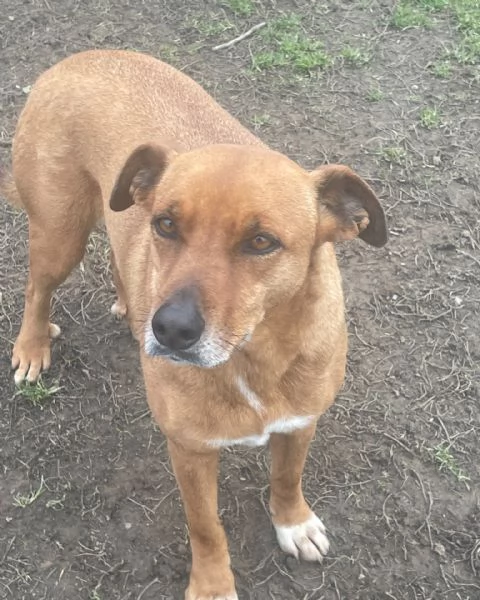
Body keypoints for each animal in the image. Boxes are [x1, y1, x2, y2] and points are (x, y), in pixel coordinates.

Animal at [2, 51, 386, 600]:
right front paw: (211, 584)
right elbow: (205, 526)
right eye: (166, 224)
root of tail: (79, 57)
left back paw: (129, 307)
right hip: (61, 232)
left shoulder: (301, 422)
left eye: (262, 242)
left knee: (117, 260)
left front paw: (292, 522)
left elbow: (287, 478)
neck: (253, 355)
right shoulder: (190, 450)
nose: (170, 330)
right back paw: (33, 346)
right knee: (37, 287)